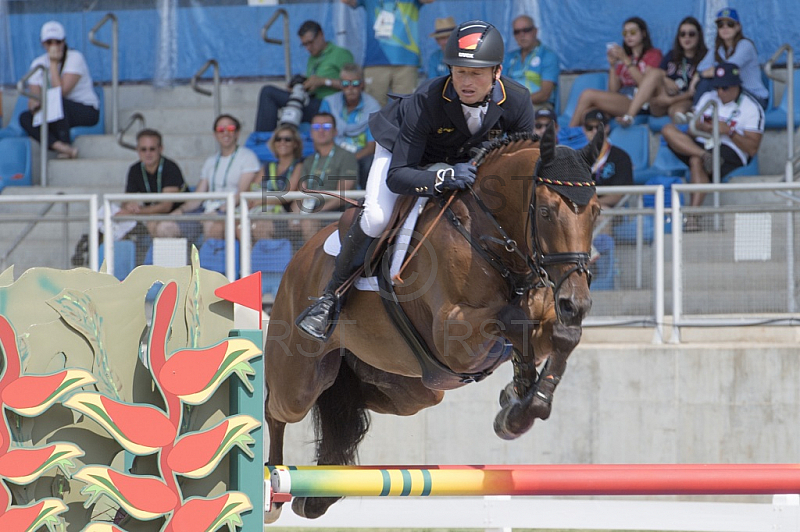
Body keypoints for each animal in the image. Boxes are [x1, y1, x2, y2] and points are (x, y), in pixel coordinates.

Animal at [266, 123, 604, 520]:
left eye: (595, 211)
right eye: (548, 212)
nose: (576, 303)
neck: (492, 238)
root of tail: (298, 259)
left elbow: (562, 337)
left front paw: (520, 404)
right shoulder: (454, 335)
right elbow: (514, 318)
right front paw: (518, 407)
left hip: (415, 387)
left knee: (352, 404)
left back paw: (317, 496)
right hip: (298, 380)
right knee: (276, 409)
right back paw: (272, 489)